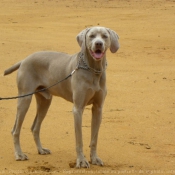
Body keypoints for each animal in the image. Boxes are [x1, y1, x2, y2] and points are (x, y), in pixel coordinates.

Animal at [3, 26, 119, 168]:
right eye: (91, 36)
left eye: (104, 36)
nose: (98, 44)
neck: (93, 70)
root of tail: (24, 60)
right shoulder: (77, 109)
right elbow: (79, 139)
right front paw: (81, 161)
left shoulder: (98, 108)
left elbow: (94, 138)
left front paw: (95, 158)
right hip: (25, 98)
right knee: (15, 130)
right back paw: (19, 154)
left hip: (45, 101)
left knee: (35, 127)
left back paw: (41, 149)